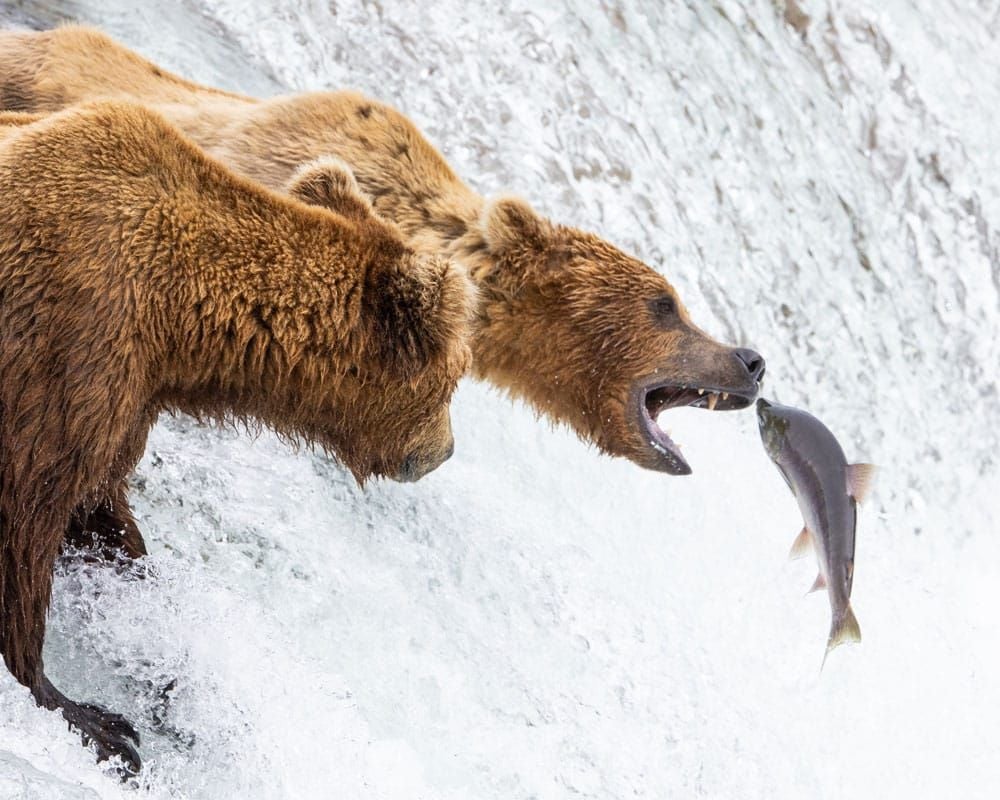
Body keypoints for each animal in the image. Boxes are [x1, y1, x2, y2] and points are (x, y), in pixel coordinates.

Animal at [0, 101, 472, 776]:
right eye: (455, 377)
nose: (443, 451)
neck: (178, 317)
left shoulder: (124, 398)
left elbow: (100, 516)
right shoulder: (70, 343)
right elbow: (27, 520)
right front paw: (95, 719)